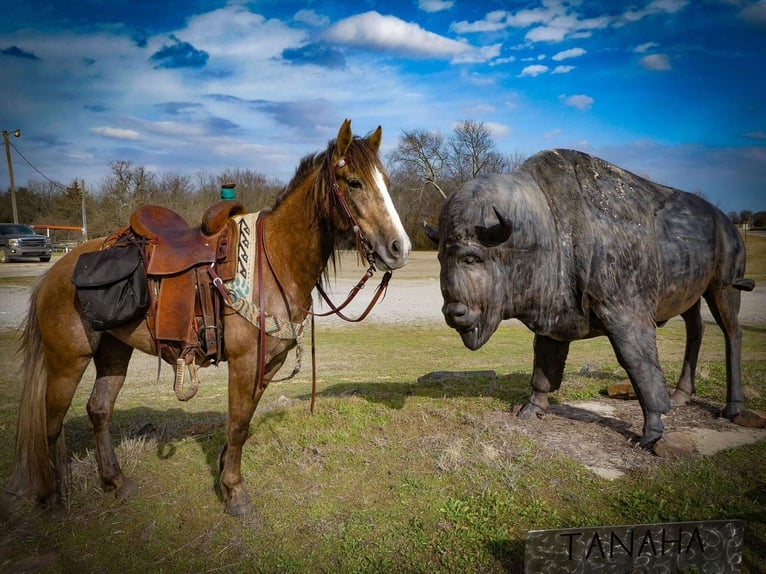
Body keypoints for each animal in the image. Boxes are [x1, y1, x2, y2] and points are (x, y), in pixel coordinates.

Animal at [3, 119, 411, 517]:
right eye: (354, 182)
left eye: (387, 183)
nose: (400, 248)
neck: (273, 261)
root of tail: (54, 273)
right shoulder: (245, 362)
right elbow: (238, 425)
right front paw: (236, 493)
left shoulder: (269, 362)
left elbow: (243, 421)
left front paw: (224, 476)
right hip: (67, 360)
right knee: (51, 423)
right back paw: (53, 498)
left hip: (114, 351)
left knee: (99, 410)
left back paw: (115, 482)